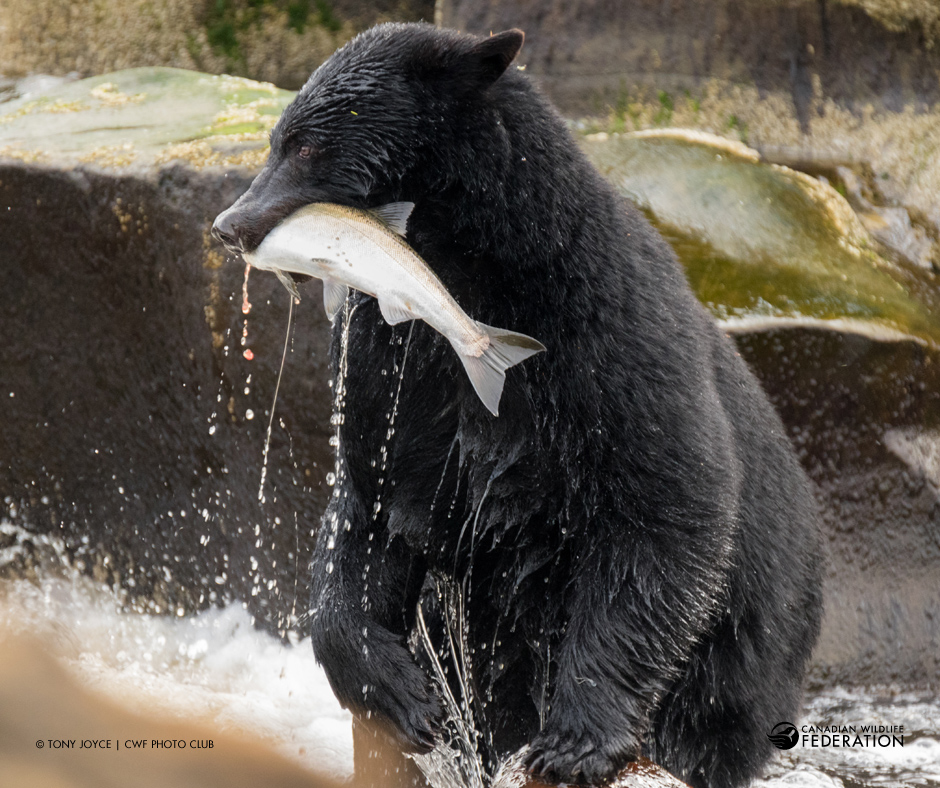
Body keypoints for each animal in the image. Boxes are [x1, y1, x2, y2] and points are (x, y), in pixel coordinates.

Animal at [211, 21, 824, 784]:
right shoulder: (394, 364)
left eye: (305, 145)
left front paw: (575, 740)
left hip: (748, 651)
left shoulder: (610, 340)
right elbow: (371, 502)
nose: (228, 224)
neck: (467, 271)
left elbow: (665, 510)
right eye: (278, 138)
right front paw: (397, 689)